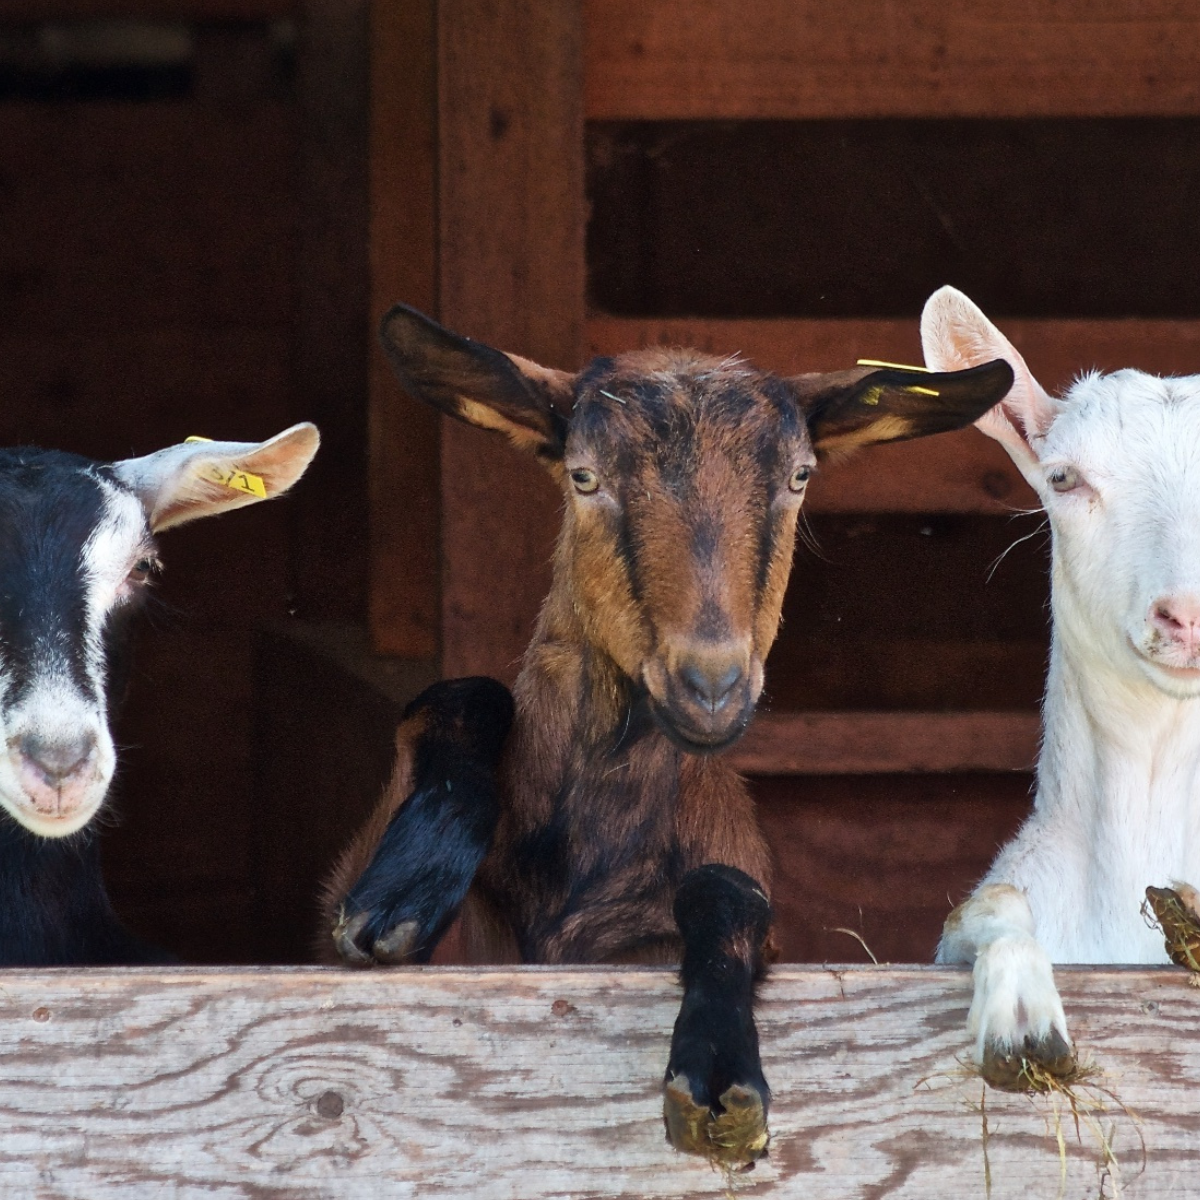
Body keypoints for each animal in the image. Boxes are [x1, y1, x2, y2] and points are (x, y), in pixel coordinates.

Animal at [321, 307, 1012, 1161]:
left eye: (799, 478)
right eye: (583, 477)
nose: (710, 685)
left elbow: (729, 891)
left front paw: (719, 1072)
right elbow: (460, 695)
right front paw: (404, 891)